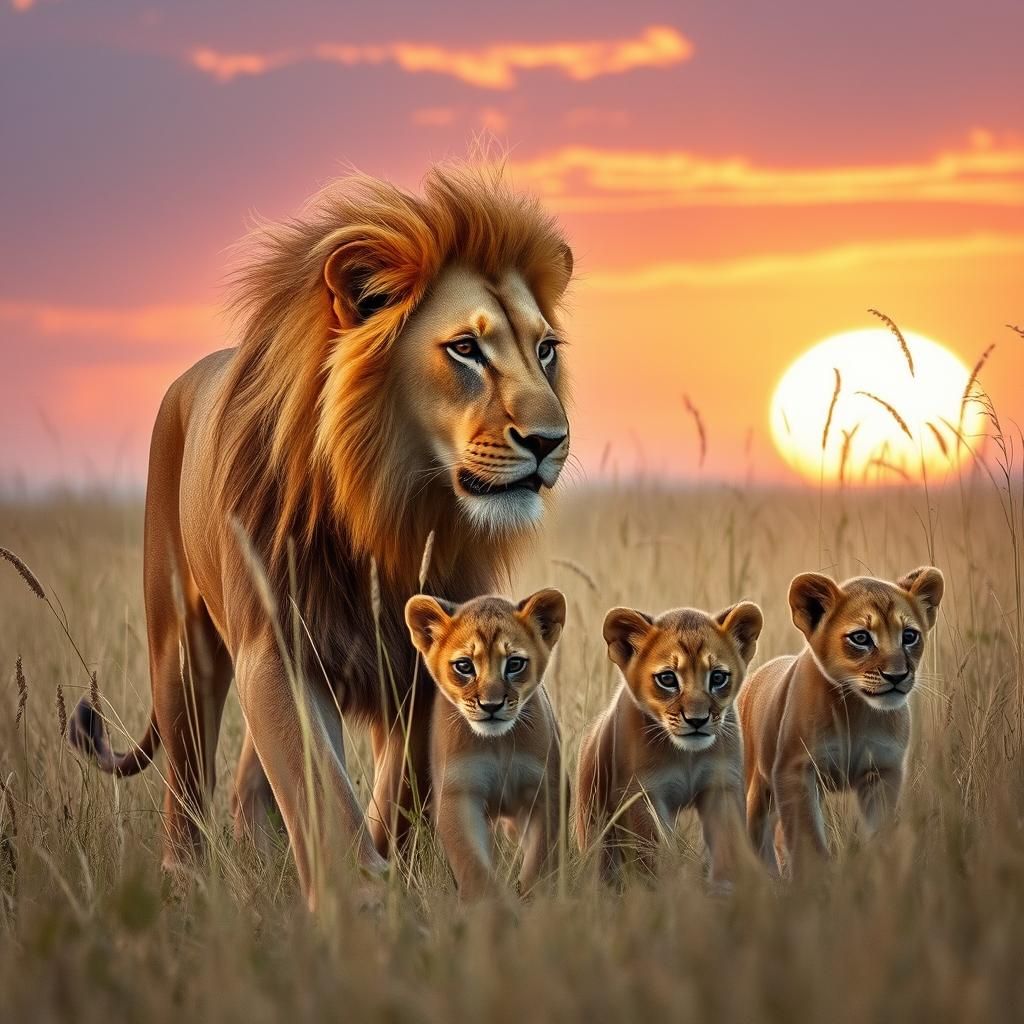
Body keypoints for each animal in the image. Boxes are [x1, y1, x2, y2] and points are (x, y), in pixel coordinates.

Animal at [404, 589, 566, 899]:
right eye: (464, 666)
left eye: (514, 664)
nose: (491, 705)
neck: (497, 744)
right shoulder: (458, 794)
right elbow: (472, 864)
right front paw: (492, 906)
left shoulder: (545, 791)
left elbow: (540, 862)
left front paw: (534, 899)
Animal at [576, 602, 763, 887]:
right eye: (667, 679)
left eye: (718, 677)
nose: (697, 720)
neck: (686, 756)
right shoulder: (641, 793)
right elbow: (651, 852)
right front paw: (661, 888)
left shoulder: (721, 784)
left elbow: (729, 842)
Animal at [737, 567, 944, 875]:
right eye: (861, 638)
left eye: (909, 636)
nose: (897, 676)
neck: (856, 710)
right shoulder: (794, 769)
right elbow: (807, 839)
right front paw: (815, 879)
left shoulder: (882, 771)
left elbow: (881, 831)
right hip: (757, 785)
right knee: (755, 832)